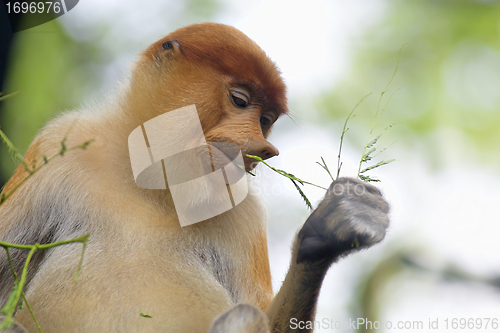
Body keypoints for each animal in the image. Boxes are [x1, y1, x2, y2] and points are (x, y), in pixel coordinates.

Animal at [0, 22, 388, 330]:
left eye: (266, 121)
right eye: (240, 100)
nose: (263, 148)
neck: (156, 183)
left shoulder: (245, 213)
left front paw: (327, 234)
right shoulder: (54, 148)